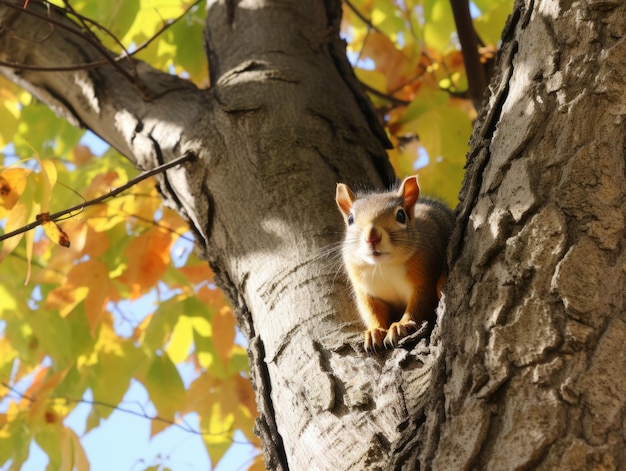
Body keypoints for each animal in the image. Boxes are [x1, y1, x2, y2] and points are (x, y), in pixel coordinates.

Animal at [334, 175, 450, 352]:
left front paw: (400, 326)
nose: (372, 237)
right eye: (350, 219)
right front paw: (375, 331)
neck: (383, 266)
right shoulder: (367, 292)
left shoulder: (424, 278)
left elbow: (419, 305)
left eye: (401, 215)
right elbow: (371, 310)